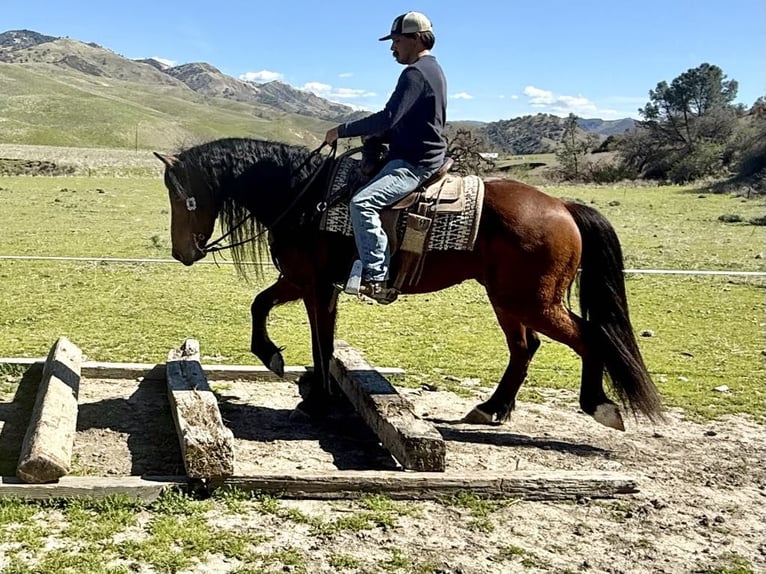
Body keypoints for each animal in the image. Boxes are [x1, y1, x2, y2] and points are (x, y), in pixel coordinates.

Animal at [154, 137, 664, 431]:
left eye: (180, 194)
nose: (182, 252)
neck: (305, 195)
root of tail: (562, 206)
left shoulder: (314, 283)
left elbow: (319, 339)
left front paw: (315, 397)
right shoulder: (304, 281)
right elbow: (268, 310)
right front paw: (281, 362)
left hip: (532, 300)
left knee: (588, 336)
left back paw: (598, 405)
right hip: (508, 300)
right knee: (525, 348)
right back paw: (491, 409)